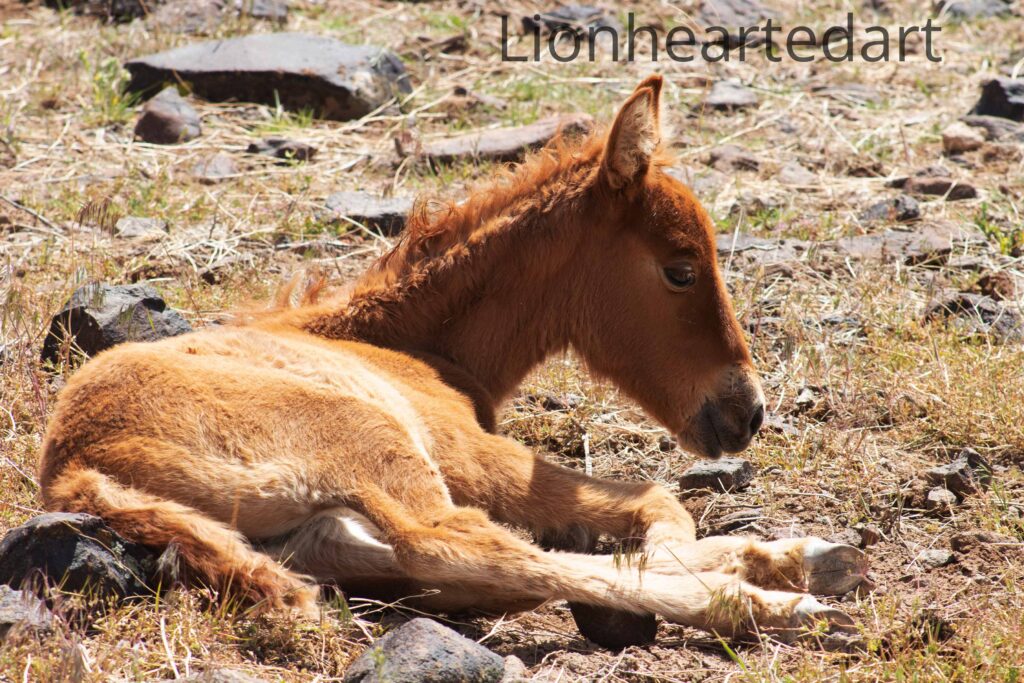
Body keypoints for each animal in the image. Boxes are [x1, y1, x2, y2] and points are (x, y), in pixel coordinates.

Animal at [39, 76, 866, 644]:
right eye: (681, 269)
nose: (748, 412)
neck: (407, 343)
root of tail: (76, 465)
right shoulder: (473, 452)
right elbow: (659, 506)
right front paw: (758, 564)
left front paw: (783, 551)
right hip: (371, 445)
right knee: (467, 546)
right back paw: (777, 605)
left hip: (314, 533)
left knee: (430, 562)